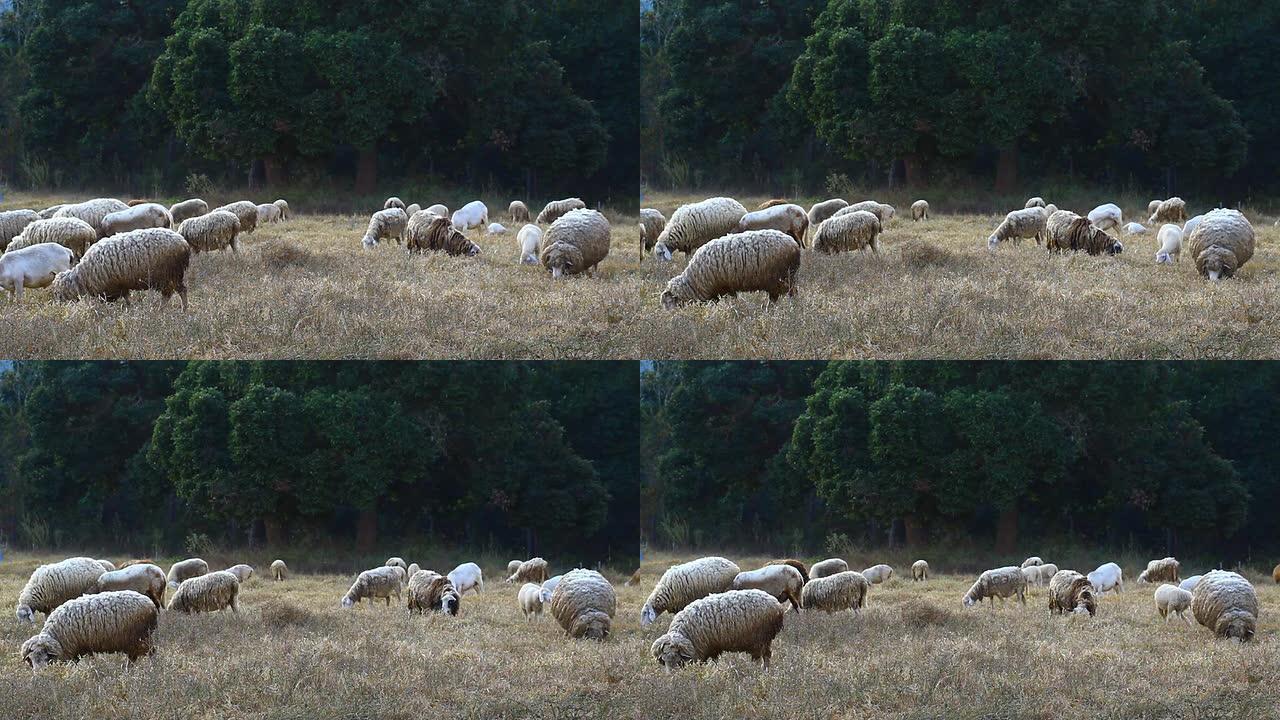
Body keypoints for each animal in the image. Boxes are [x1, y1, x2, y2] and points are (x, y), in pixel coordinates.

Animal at [20, 589, 157, 666]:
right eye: (31, 660)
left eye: (45, 659)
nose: (39, 677)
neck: (56, 636)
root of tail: (151, 604)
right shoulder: (83, 647)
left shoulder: (72, 650)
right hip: (132, 640)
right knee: (132, 657)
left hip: (141, 637)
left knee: (151, 653)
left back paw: (151, 670)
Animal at [52, 228, 190, 307]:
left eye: (59, 293)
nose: (59, 306)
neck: (82, 277)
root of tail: (183, 242)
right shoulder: (122, 285)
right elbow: (127, 299)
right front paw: (130, 309)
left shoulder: (111, 288)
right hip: (170, 275)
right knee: (171, 293)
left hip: (170, 273)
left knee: (178, 292)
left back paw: (181, 310)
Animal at [655, 589, 783, 666]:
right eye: (664, 661)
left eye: (678, 661)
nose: (673, 678)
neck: (686, 634)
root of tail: (777, 605)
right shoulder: (712, 646)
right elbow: (715, 660)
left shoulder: (703, 649)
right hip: (765, 640)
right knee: (767, 655)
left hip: (758, 638)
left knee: (759, 658)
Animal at [660, 228, 798, 307]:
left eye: (669, 303)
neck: (694, 280)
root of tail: (793, 243)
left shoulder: (724, 287)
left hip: (782, 277)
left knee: (788, 294)